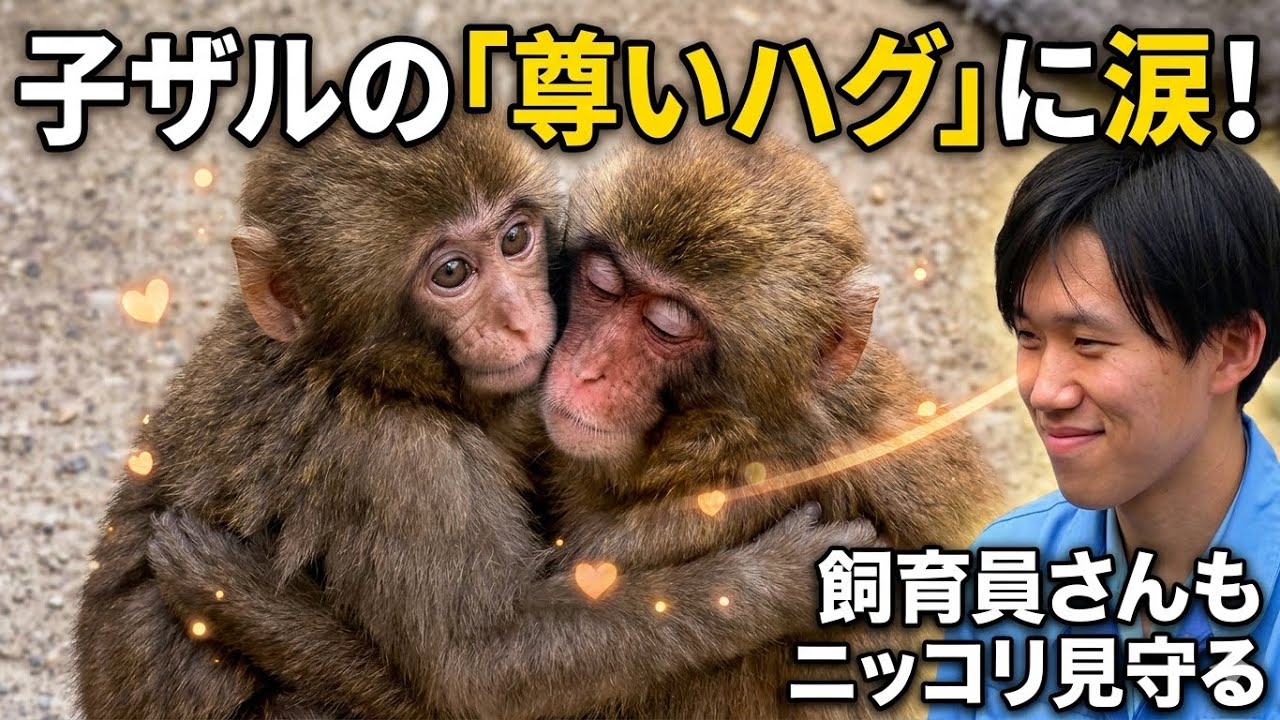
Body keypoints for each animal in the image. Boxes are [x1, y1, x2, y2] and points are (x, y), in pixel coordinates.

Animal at [133, 127, 1002, 718]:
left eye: (670, 324)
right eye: (606, 284)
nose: (583, 368)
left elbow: (487, 677)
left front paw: (231, 592)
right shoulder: (400, 457)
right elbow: (489, 669)